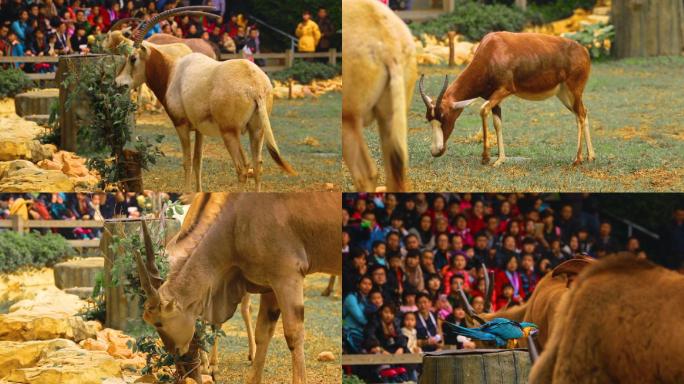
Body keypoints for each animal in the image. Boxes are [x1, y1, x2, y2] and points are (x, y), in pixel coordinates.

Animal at [115, 6, 296, 191]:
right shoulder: (200, 130)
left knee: (242, 168)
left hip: (230, 132)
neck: (172, 72)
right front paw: (198, 192)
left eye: (133, 58)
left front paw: (186, 193)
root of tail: (256, 84)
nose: (118, 82)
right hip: (257, 130)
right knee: (257, 166)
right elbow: (198, 161)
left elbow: (187, 162)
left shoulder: (181, 125)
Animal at [134, 195, 340, 384]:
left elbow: (292, 335)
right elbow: (262, 333)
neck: (236, 217)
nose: (179, 358)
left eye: (159, 323)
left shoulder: (288, 277)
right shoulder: (270, 286)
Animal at [416, 30, 592, 166]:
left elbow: (483, 110)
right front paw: (500, 160)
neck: (492, 48)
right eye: (428, 119)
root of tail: (583, 50)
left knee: (580, 115)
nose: (436, 151)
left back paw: (577, 159)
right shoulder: (494, 98)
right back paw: (590, 156)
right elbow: (497, 123)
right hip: (564, 94)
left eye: (444, 117)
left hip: (574, 90)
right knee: (582, 112)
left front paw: (486, 158)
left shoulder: (505, 90)